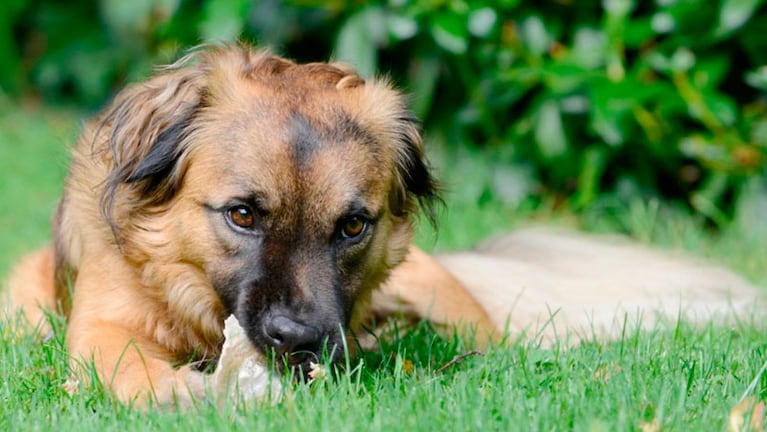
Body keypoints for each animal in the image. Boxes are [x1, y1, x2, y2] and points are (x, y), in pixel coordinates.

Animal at [1, 44, 760, 408]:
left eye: (352, 226)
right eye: (242, 214)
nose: (297, 342)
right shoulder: (103, 323)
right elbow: (121, 358)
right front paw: (176, 392)